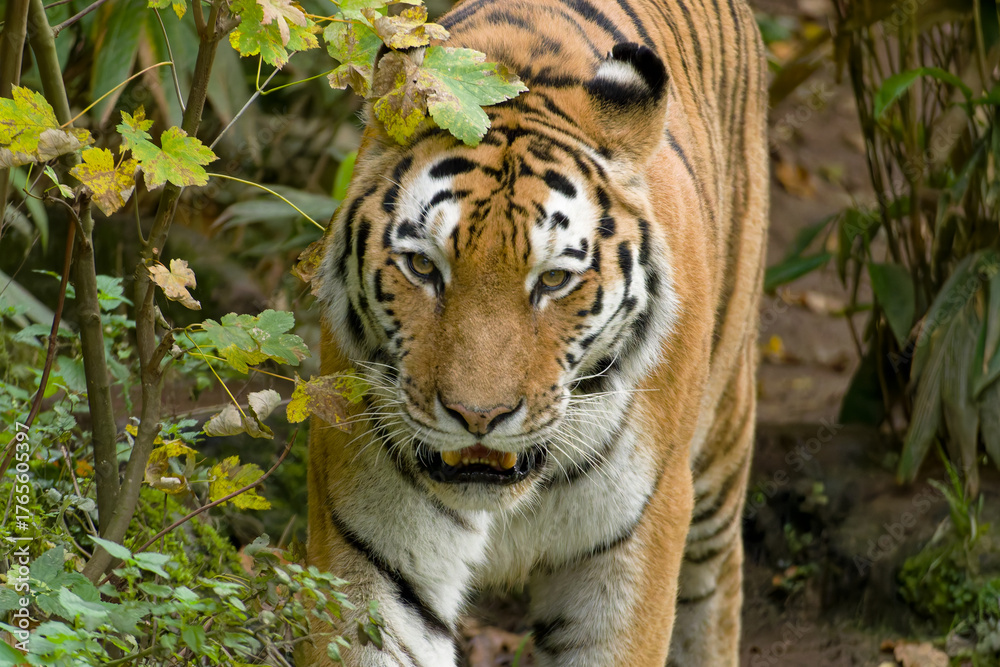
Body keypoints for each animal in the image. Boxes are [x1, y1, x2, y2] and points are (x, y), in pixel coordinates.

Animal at [305, 0, 768, 664]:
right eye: (423, 267)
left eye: (552, 279)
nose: (479, 417)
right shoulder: (371, 544)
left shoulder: (633, 543)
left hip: (721, 439)